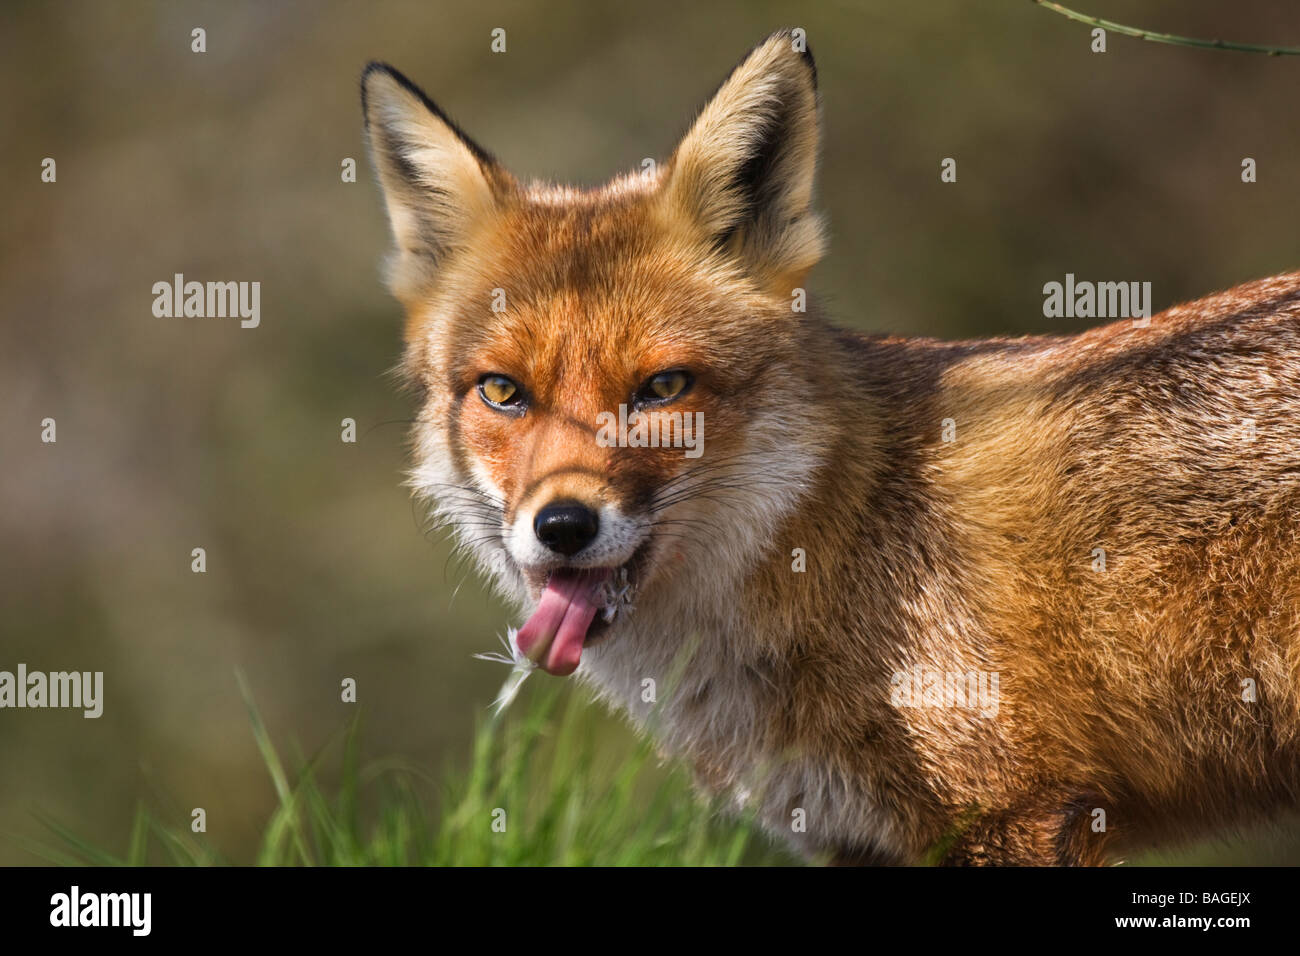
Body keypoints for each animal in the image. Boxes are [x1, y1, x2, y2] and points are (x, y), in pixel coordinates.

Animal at [361, 31, 1300, 868]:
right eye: (502, 391)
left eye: (663, 389)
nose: (561, 527)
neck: (838, 534)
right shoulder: (856, 836)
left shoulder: (1016, 811)